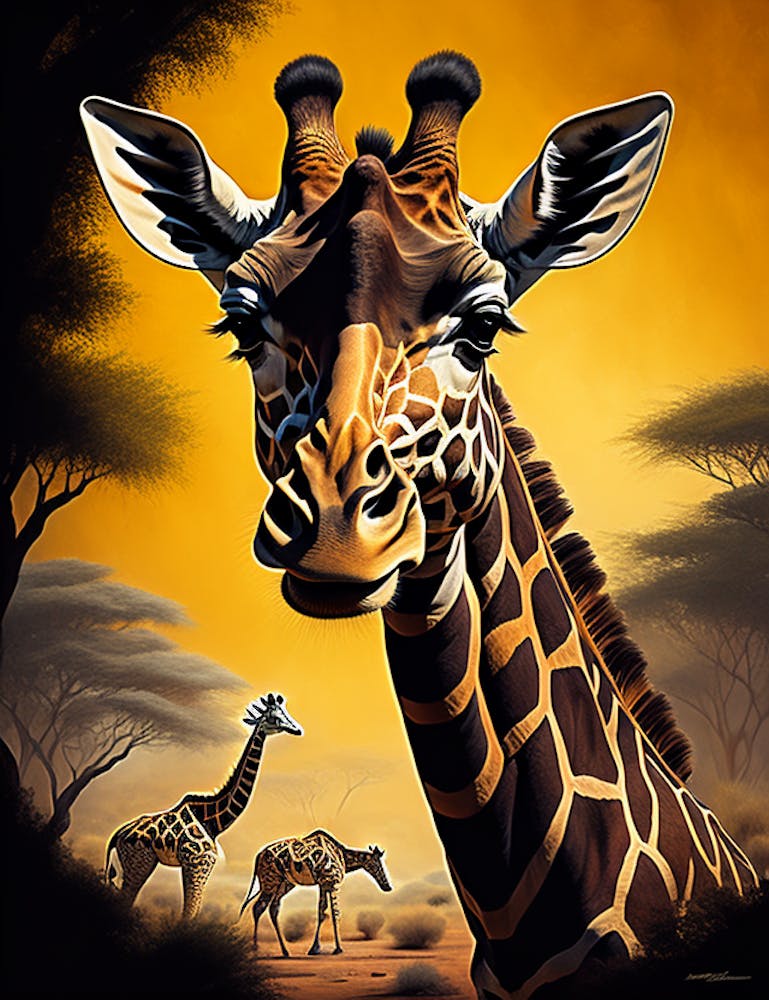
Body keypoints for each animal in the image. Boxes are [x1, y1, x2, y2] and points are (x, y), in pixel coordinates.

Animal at [105, 693, 302, 918]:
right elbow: (188, 913)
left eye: (286, 713)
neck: (215, 822)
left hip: (138, 864)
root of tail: (116, 836)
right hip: (139, 862)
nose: (297, 729)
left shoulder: (200, 866)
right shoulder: (197, 863)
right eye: (274, 718)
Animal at [240, 828, 392, 956]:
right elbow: (335, 914)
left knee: (271, 908)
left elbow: (321, 912)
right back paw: (256, 949)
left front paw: (315, 948)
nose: (387, 886)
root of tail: (258, 856)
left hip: (283, 884)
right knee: (258, 907)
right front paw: (338, 949)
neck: (343, 856)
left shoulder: (324, 885)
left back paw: (284, 951)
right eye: (378, 864)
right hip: (270, 882)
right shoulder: (332, 883)